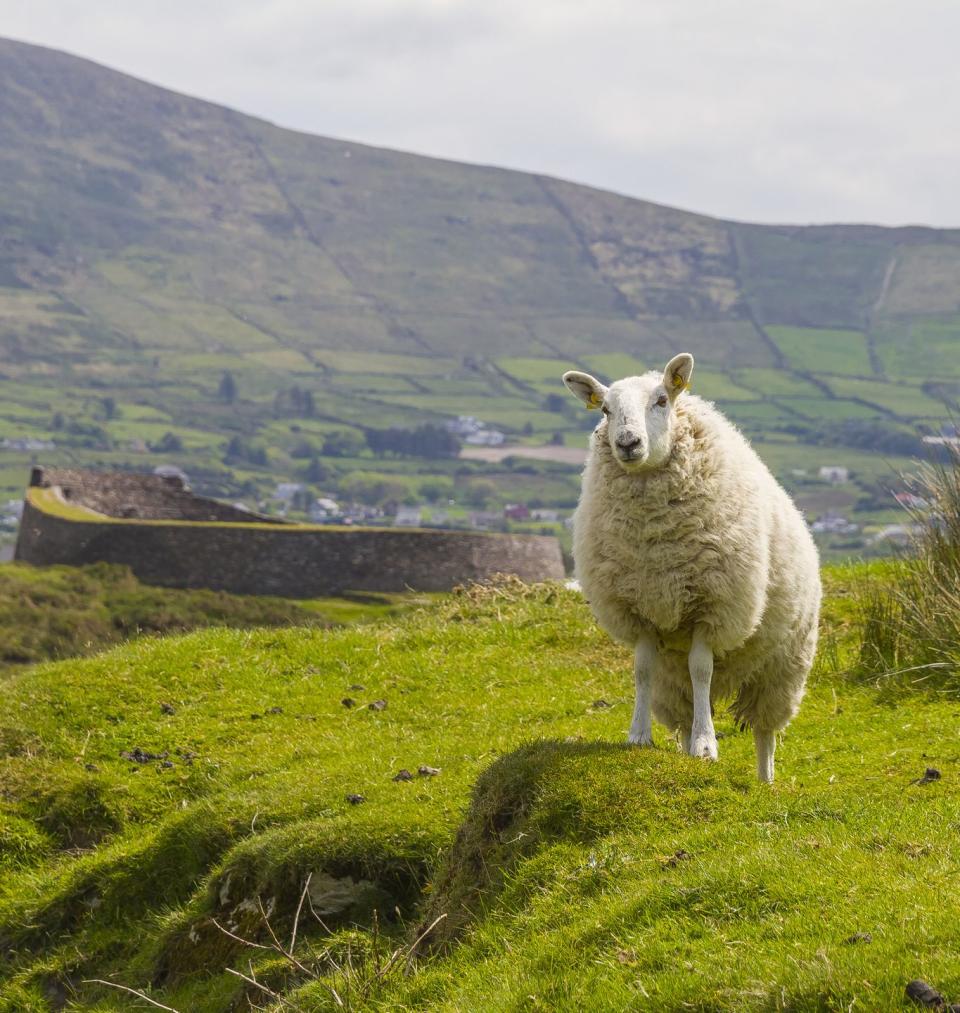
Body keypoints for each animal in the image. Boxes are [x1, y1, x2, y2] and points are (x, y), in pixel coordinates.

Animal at [567, 354, 822, 782]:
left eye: (662, 400)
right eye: (605, 409)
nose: (628, 443)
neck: (655, 541)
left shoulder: (713, 608)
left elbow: (701, 669)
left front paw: (707, 746)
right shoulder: (639, 610)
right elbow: (642, 671)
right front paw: (639, 737)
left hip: (783, 664)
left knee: (765, 730)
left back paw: (765, 779)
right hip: (674, 682)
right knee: (683, 702)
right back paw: (686, 749)